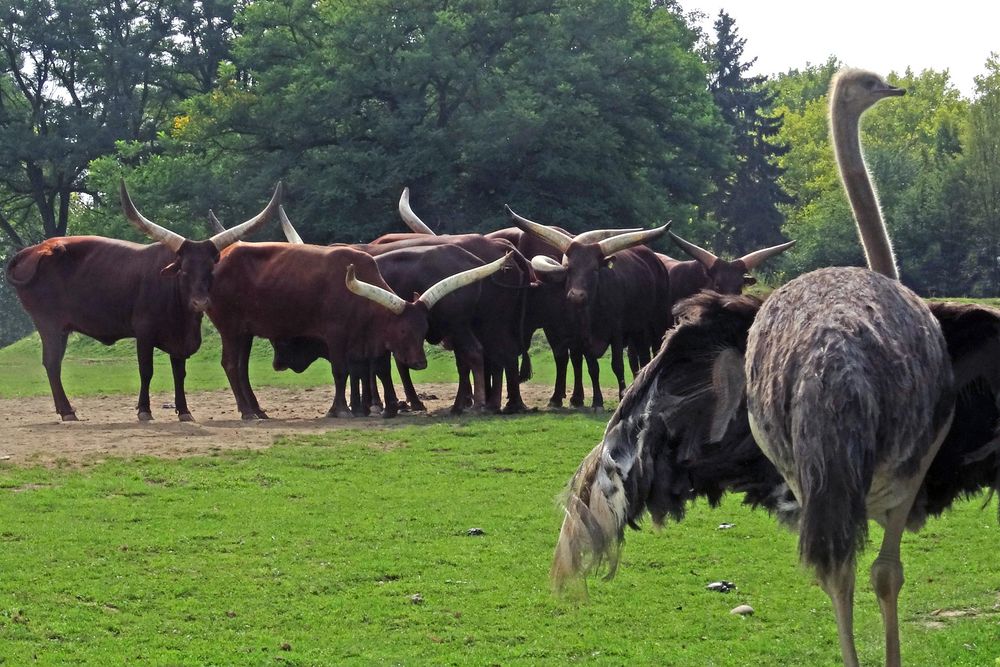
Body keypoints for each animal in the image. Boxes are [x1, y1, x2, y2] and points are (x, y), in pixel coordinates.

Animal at [6, 181, 282, 422]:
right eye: (183, 271)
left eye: (210, 270)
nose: (200, 302)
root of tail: (30, 251)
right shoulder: (144, 332)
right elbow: (146, 370)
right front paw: (144, 411)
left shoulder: (179, 337)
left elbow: (179, 373)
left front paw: (184, 411)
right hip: (49, 325)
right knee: (52, 364)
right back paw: (67, 411)